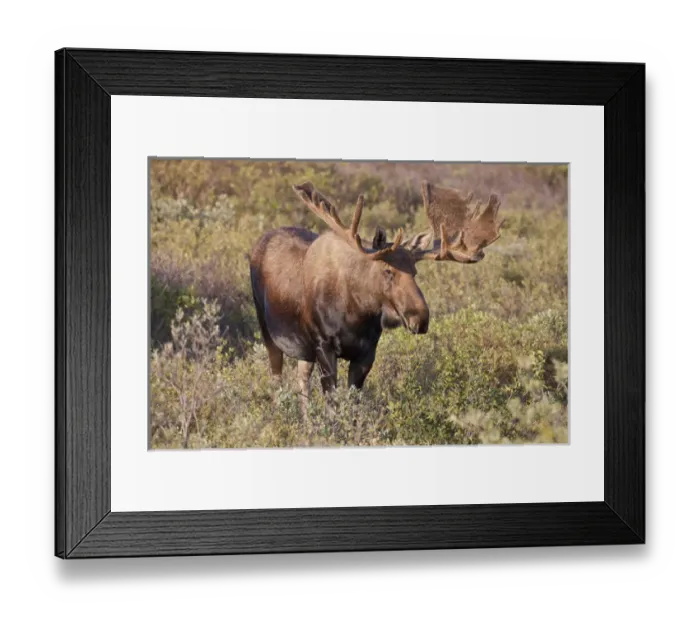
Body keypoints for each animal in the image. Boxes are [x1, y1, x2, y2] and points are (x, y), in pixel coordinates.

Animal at [249, 180, 504, 416]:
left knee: (301, 380)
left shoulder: (366, 354)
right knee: (277, 381)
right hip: (268, 331)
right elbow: (332, 406)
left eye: (415, 271)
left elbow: (352, 402)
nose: (420, 318)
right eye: (388, 270)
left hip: (304, 351)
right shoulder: (324, 346)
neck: (356, 314)